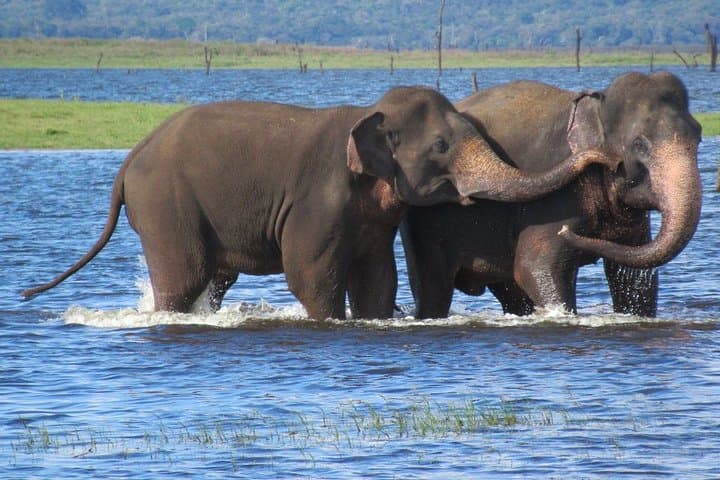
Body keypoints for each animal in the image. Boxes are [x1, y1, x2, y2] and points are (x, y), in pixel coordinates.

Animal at [22, 86, 617, 320]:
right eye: (442, 147)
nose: (604, 158)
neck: (369, 113)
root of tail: (128, 163)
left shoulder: (373, 217)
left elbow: (377, 278)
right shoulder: (320, 200)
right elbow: (310, 274)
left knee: (212, 281)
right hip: (166, 208)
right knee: (184, 278)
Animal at [401, 72, 702, 318]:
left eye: (698, 136)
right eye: (640, 144)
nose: (569, 233)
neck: (596, 107)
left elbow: (634, 276)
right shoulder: (553, 198)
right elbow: (535, 267)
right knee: (434, 289)